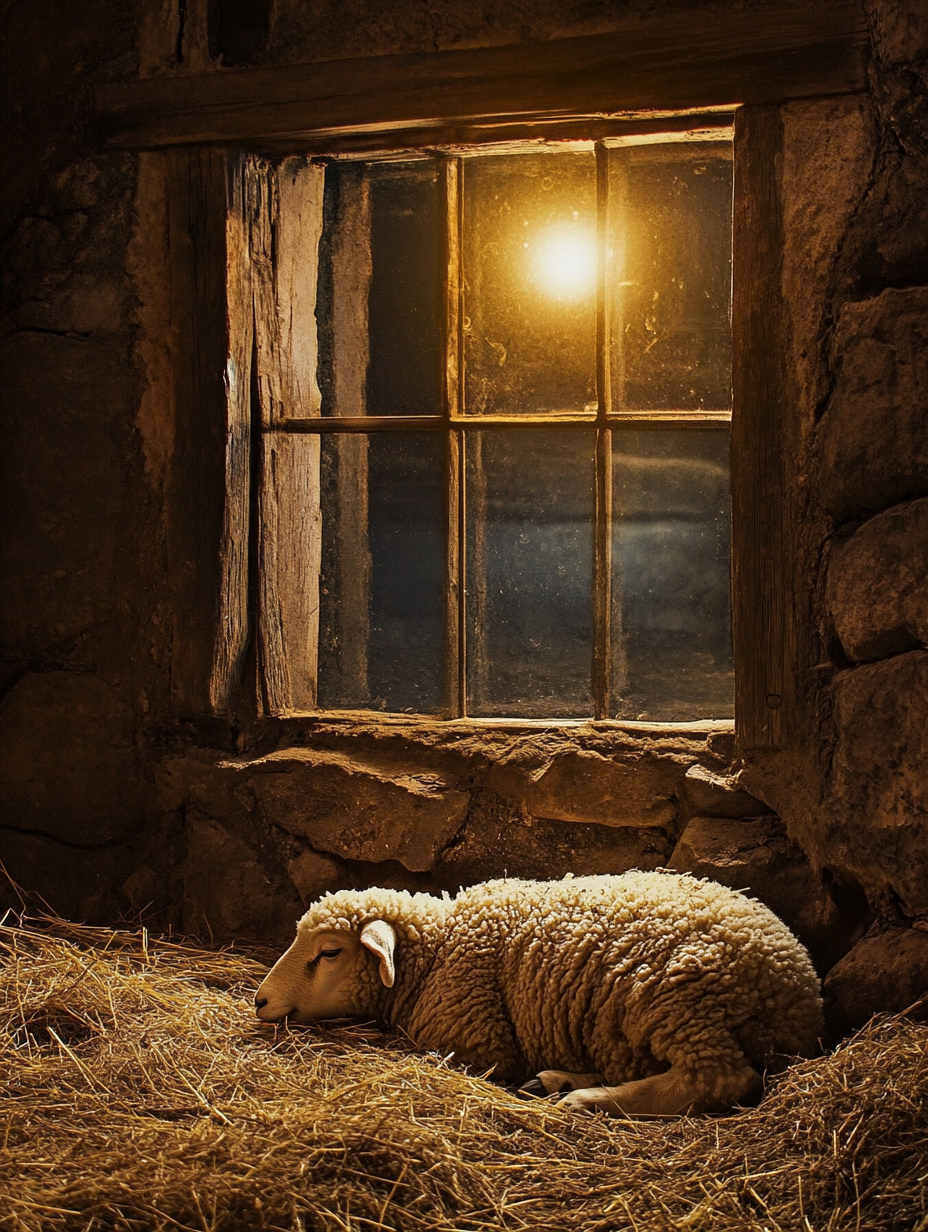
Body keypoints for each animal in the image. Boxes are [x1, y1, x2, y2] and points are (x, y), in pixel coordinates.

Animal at [253, 867, 818, 1118]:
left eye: (329, 953)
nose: (259, 1000)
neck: (438, 948)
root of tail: (798, 987)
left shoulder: (479, 1043)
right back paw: (557, 1081)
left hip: (679, 998)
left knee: (718, 1078)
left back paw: (586, 1098)